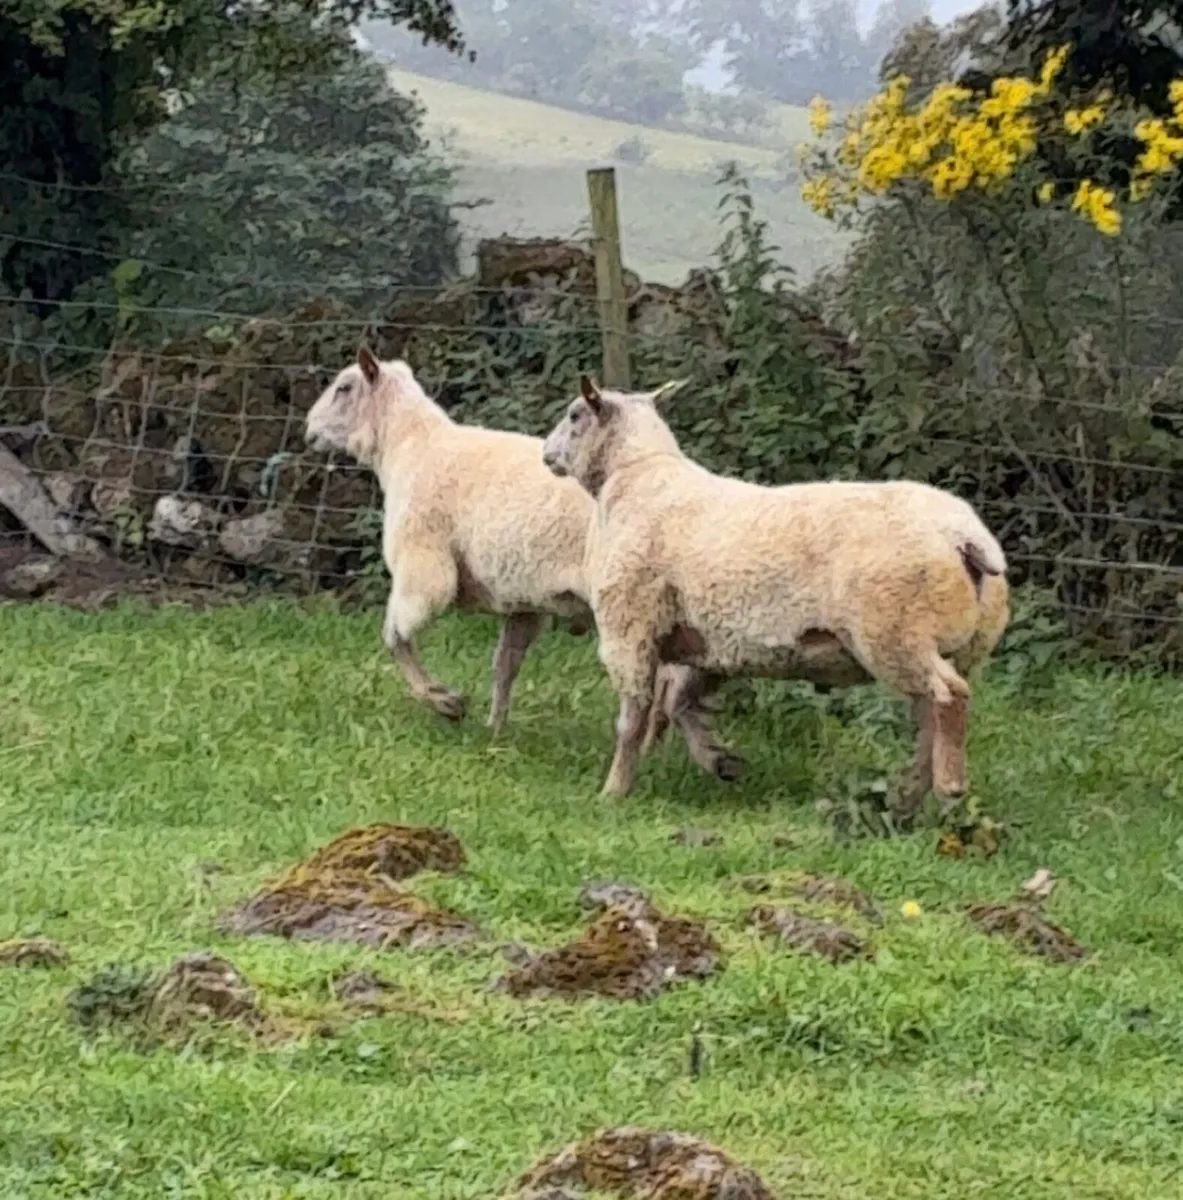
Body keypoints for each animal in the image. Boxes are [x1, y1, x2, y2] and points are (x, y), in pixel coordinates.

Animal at [303, 349, 712, 745]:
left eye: (344, 387)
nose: (308, 430)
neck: (409, 446)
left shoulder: (424, 564)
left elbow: (395, 637)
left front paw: (445, 701)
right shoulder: (525, 600)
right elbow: (505, 666)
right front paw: (493, 730)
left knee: (670, 686)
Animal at [541, 375, 1010, 804]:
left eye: (574, 415)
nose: (546, 454)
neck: (634, 475)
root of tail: (964, 537)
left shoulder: (629, 628)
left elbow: (632, 720)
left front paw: (613, 792)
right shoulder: (709, 646)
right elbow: (679, 705)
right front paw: (721, 763)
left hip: (896, 631)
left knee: (949, 696)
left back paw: (948, 786)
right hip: (962, 644)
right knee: (932, 717)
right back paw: (909, 796)